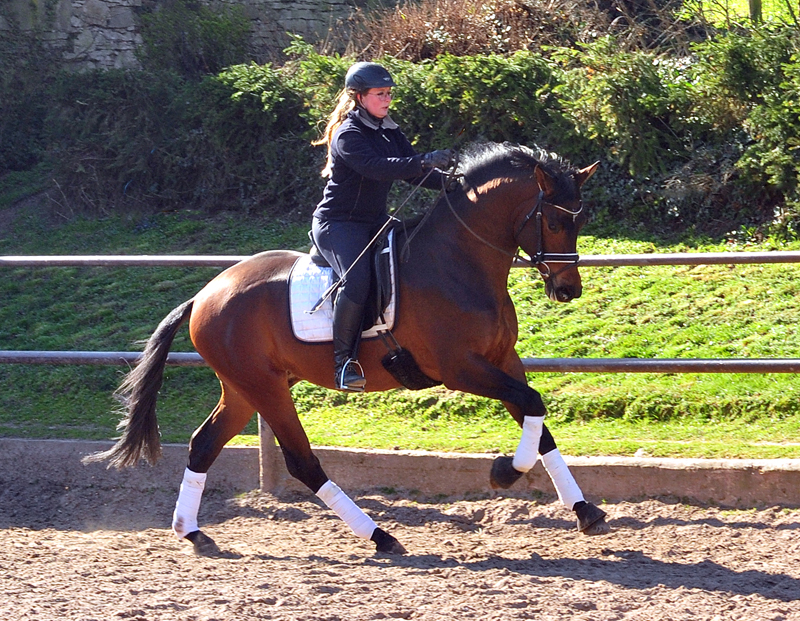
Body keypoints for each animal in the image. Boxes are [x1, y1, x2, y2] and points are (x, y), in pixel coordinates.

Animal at [86, 143, 608, 556]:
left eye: (581, 218)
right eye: (554, 219)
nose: (568, 290)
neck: (458, 263)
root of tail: (205, 294)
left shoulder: (502, 361)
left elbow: (537, 420)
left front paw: (584, 510)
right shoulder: (461, 368)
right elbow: (532, 406)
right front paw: (504, 472)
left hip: (243, 388)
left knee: (203, 445)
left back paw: (192, 532)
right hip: (265, 388)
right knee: (301, 462)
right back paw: (380, 536)